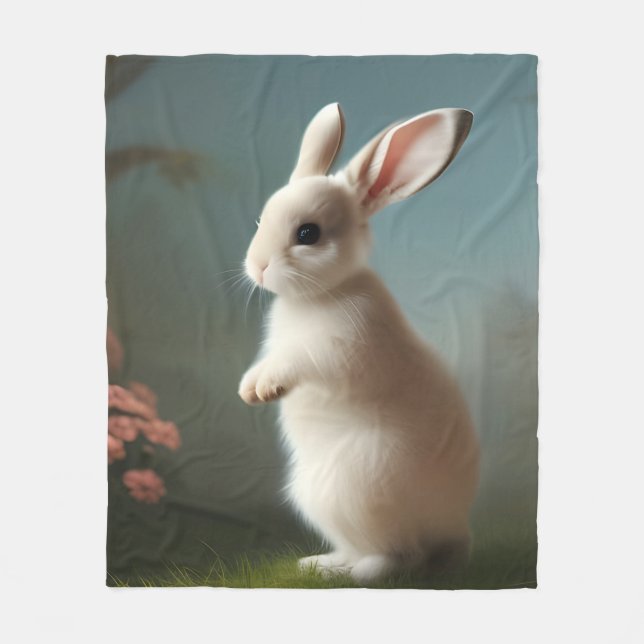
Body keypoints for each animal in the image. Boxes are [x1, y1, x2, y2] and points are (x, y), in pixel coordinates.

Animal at [238, 103, 480, 584]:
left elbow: (297, 362)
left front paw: (265, 389)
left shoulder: (341, 347)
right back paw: (320, 564)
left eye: (308, 234)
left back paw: (354, 575)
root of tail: (453, 531)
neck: (321, 293)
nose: (257, 267)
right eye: (260, 220)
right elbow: (267, 360)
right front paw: (248, 387)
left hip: (354, 490)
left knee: (402, 557)